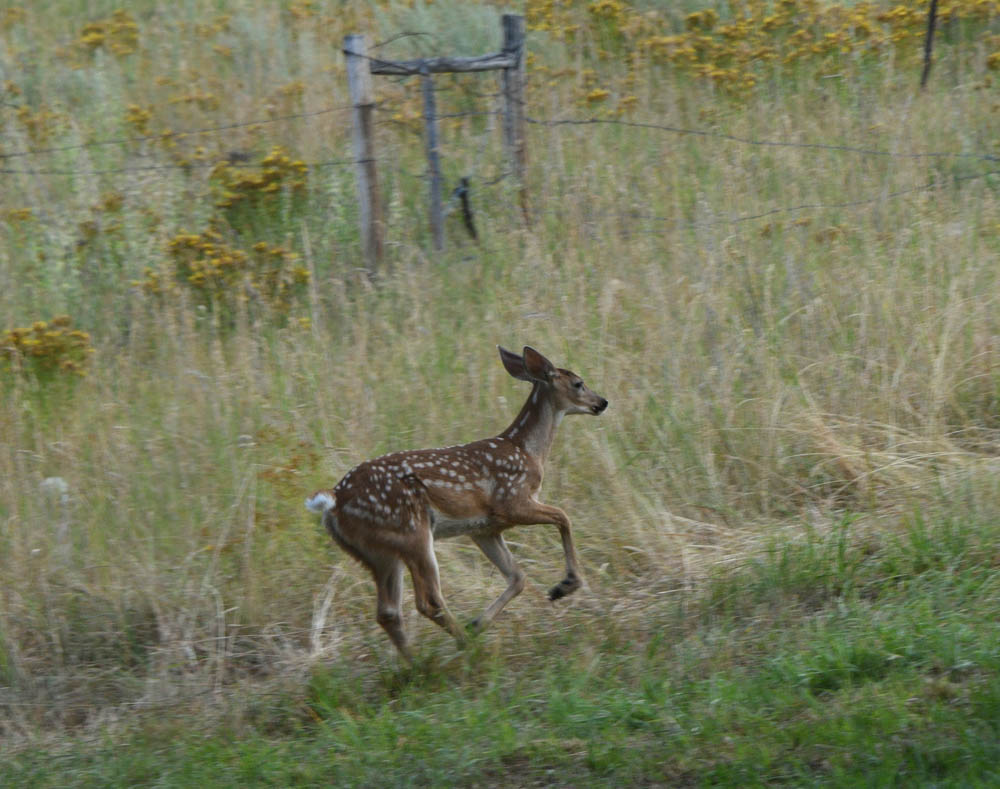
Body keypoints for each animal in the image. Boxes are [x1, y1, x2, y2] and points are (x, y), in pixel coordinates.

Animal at [305, 345, 608, 661]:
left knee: (389, 611)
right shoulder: (512, 500)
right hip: (411, 533)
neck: (527, 451)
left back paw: (419, 663)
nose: (602, 402)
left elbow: (518, 577)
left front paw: (479, 623)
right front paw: (566, 585)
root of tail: (335, 500)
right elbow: (563, 516)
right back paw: (466, 648)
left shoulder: (484, 528)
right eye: (578, 383)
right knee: (428, 601)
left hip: (379, 552)